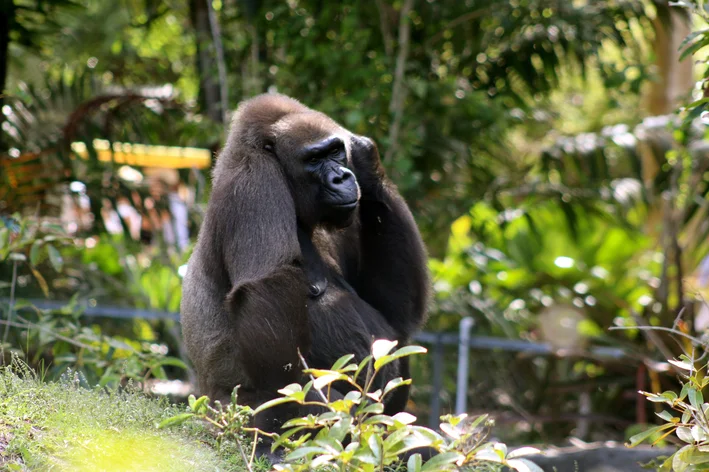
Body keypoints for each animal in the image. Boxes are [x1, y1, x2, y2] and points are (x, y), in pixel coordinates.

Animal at [180, 94, 428, 444]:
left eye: (335, 151)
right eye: (313, 159)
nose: (342, 177)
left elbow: (396, 314)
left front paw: (365, 159)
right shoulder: (254, 179)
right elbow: (267, 287)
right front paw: (281, 415)